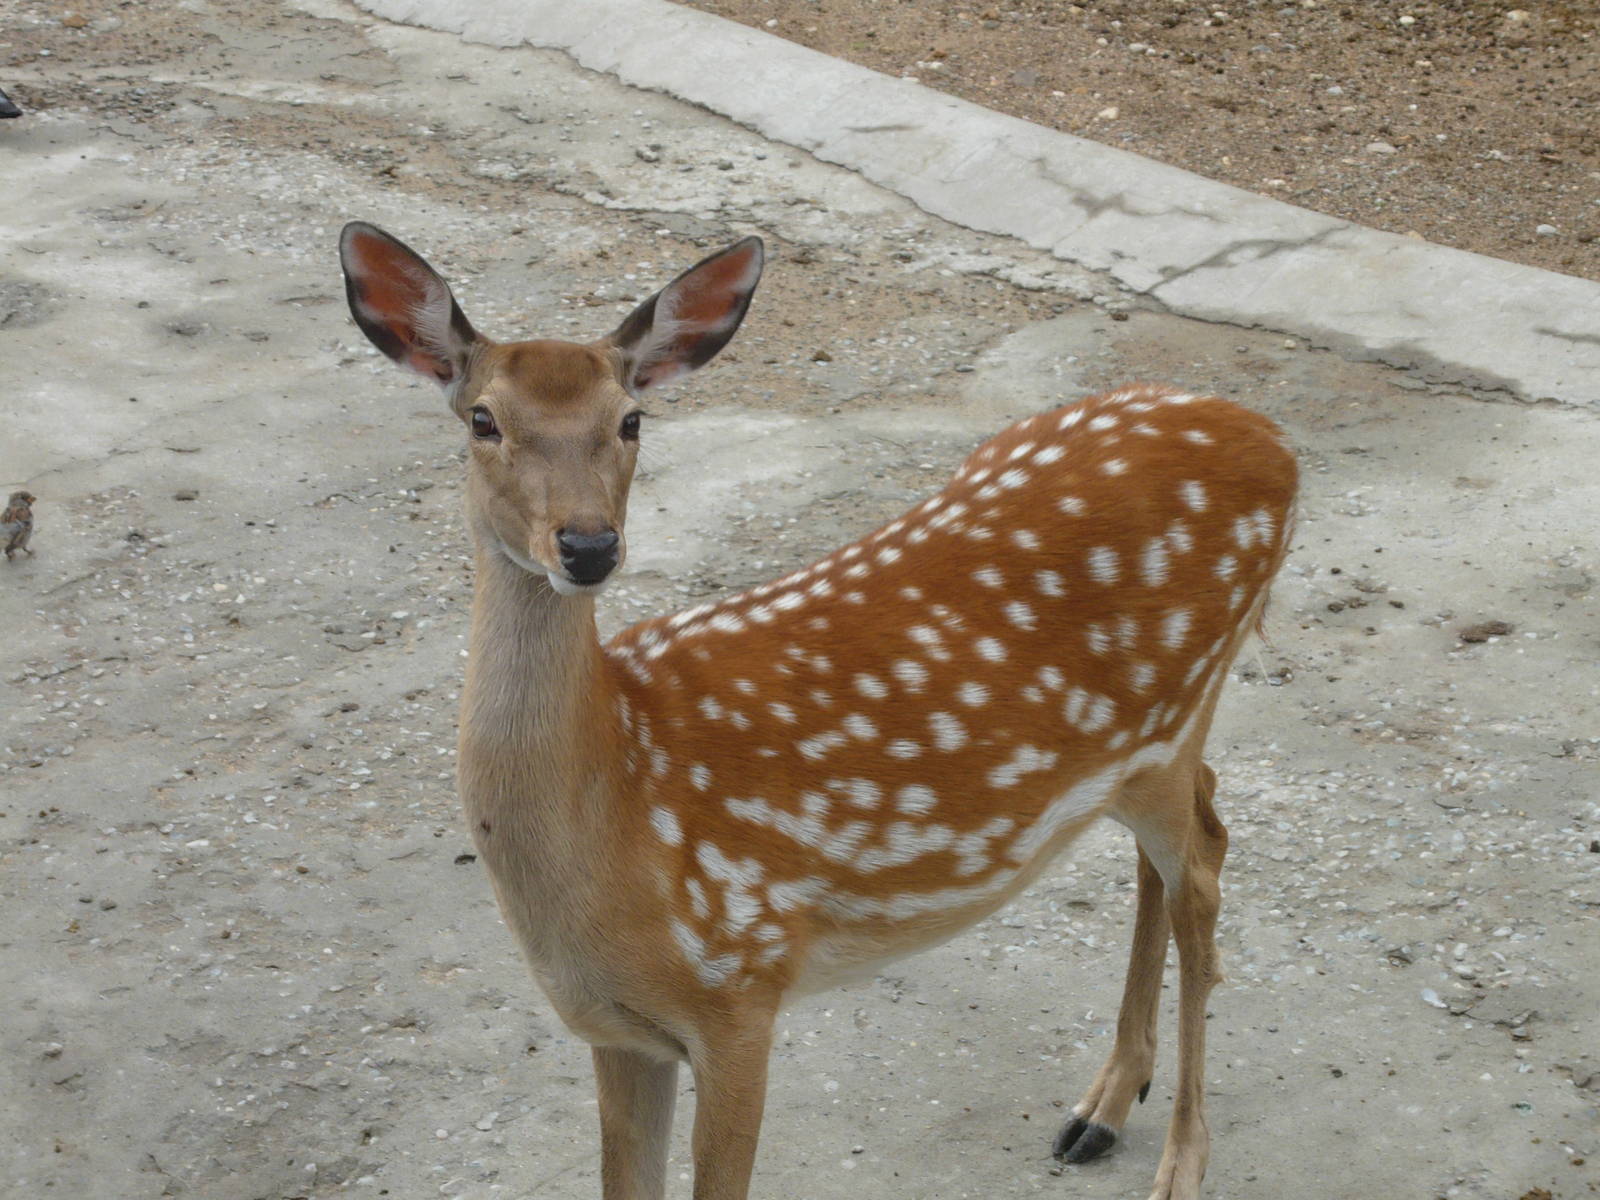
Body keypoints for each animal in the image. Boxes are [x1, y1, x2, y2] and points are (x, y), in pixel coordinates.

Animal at [338, 221, 1298, 1200]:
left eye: (632, 419)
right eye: (482, 420)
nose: (589, 545)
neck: (621, 810)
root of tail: (1272, 440)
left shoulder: (742, 984)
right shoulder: (619, 1032)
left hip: (1181, 705)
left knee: (1203, 865)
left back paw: (1180, 1157)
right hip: (1149, 743)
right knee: (1179, 843)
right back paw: (1103, 1105)